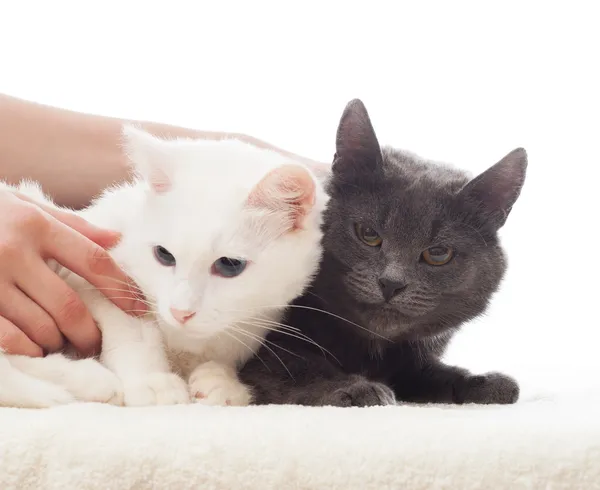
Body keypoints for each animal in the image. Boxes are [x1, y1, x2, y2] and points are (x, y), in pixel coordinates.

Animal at [0, 124, 328, 408]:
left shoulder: (257, 320)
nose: (180, 312)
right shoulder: (99, 272)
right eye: (164, 255)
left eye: (230, 265)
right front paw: (153, 380)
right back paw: (84, 380)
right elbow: (133, 329)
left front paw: (223, 381)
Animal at [237, 98, 528, 406]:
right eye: (368, 234)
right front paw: (356, 388)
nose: (391, 282)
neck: (370, 348)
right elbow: (299, 365)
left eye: (438, 253)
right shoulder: (266, 347)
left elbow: (433, 374)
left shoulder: (413, 360)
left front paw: (486, 383)